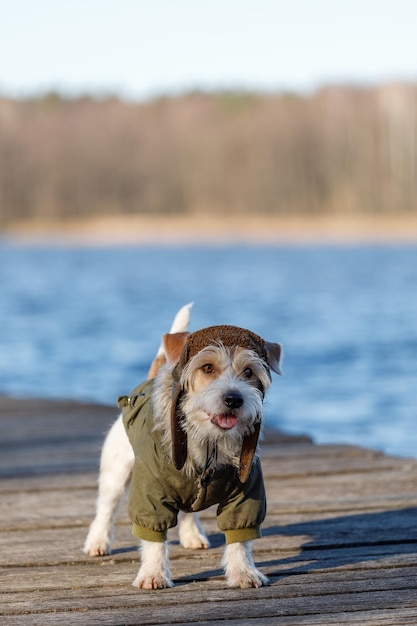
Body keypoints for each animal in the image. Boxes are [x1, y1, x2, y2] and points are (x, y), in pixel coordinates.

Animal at [83, 304, 282, 588]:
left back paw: (192, 536)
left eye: (249, 372)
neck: (209, 440)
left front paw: (244, 572)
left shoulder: (246, 493)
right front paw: (153, 574)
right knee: (106, 508)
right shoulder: (150, 495)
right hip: (116, 472)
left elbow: (240, 538)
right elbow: (154, 539)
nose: (234, 399)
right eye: (207, 367)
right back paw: (97, 542)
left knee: (189, 509)